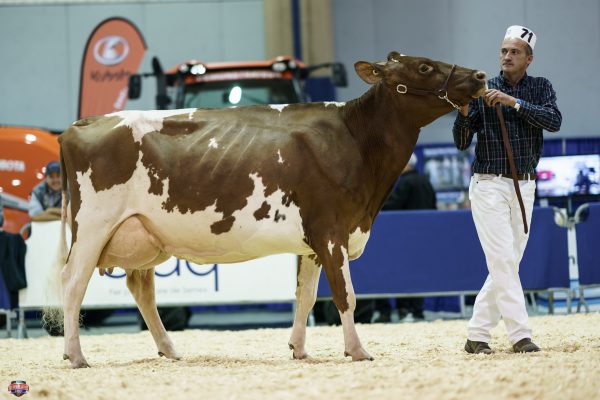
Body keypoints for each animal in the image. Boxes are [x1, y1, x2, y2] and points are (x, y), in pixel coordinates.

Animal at [55, 51, 486, 368]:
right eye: (425, 66)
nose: (481, 75)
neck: (355, 139)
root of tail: (80, 124)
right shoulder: (332, 231)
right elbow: (345, 296)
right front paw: (358, 350)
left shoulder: (315, 242)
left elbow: (306, 297)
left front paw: (299, 349)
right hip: (92, 228)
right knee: (73, 284)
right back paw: (76, 355)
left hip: (144, 235)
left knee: (140, 288)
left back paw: (170, 350)